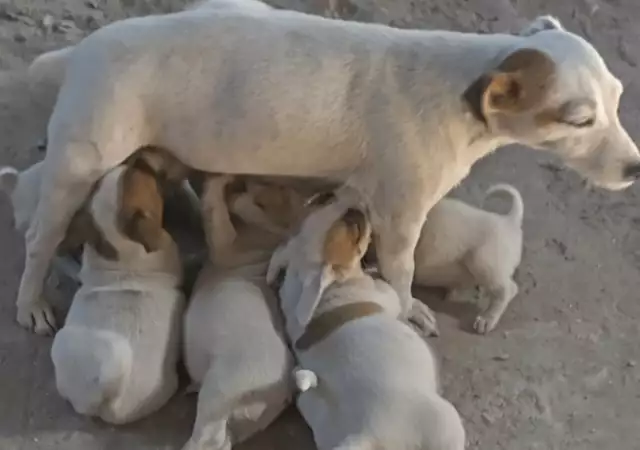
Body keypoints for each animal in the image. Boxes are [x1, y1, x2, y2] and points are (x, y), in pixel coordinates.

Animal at [18, 9, 640, 338]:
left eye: (618, 97)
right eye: (579, 119)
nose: (636, 169)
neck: (460, 91)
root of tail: (84, 51)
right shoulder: (400, 218)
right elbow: (402, 276)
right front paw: (410, 309)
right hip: (76, 169)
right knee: (39, 240)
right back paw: (31, 301)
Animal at [181, 176, 314, 450]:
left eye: (280, 189)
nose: (244, 183)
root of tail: (283, 387)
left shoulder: (230, 247)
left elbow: (219, 219)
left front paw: (223, 182)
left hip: (223, 386)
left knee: (208, 434)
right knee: (222, 440)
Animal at [268, 199, 468, 450]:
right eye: (354, 230)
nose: (355, 207)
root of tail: (366, 434)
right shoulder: (387, 294)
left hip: (324, 421)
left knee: (307, 398)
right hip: (446, 422)